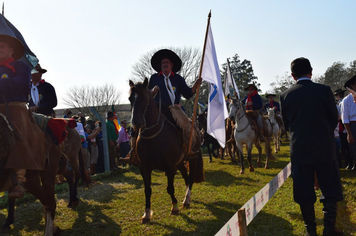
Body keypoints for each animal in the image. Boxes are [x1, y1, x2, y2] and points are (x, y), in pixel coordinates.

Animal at [129, 79, 204, 223]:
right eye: (130, 98)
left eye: (145, 98)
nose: (136, 123)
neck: (153, 136)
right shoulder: (144, 168)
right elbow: (147, 190)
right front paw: (146, 214)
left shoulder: (170, 167)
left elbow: (170, 188)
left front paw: (174, 207)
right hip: (180, 163)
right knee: (186, 177)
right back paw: (187, 198)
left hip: (192, 158)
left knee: (191, 177)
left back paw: (186, 200)